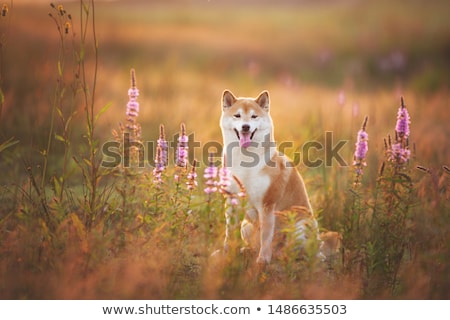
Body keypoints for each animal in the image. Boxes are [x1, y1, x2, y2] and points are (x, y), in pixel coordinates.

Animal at [219, 90, 326, 264]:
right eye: (237, 115)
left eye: (254, 116)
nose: (246, 126)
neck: (245, 162)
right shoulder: (231, 200)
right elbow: (229, 233)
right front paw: (226, 254)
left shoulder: (267, 205)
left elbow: (266, 237)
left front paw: (263, 260)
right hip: (246, 226)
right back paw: (248, 250)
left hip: (301, 226)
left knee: (299, 251)